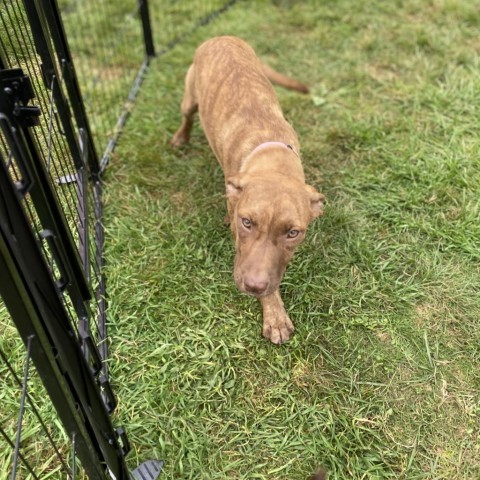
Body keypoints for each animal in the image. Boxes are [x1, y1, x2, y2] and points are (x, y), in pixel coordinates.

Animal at [171, 37, 324, 344]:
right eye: (247, 222)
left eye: (293, 233)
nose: (254, 286)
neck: (273, 159)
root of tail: (222, 36)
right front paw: (274, 313)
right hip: (189, 97)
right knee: (187, 116)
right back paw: (181, 137)